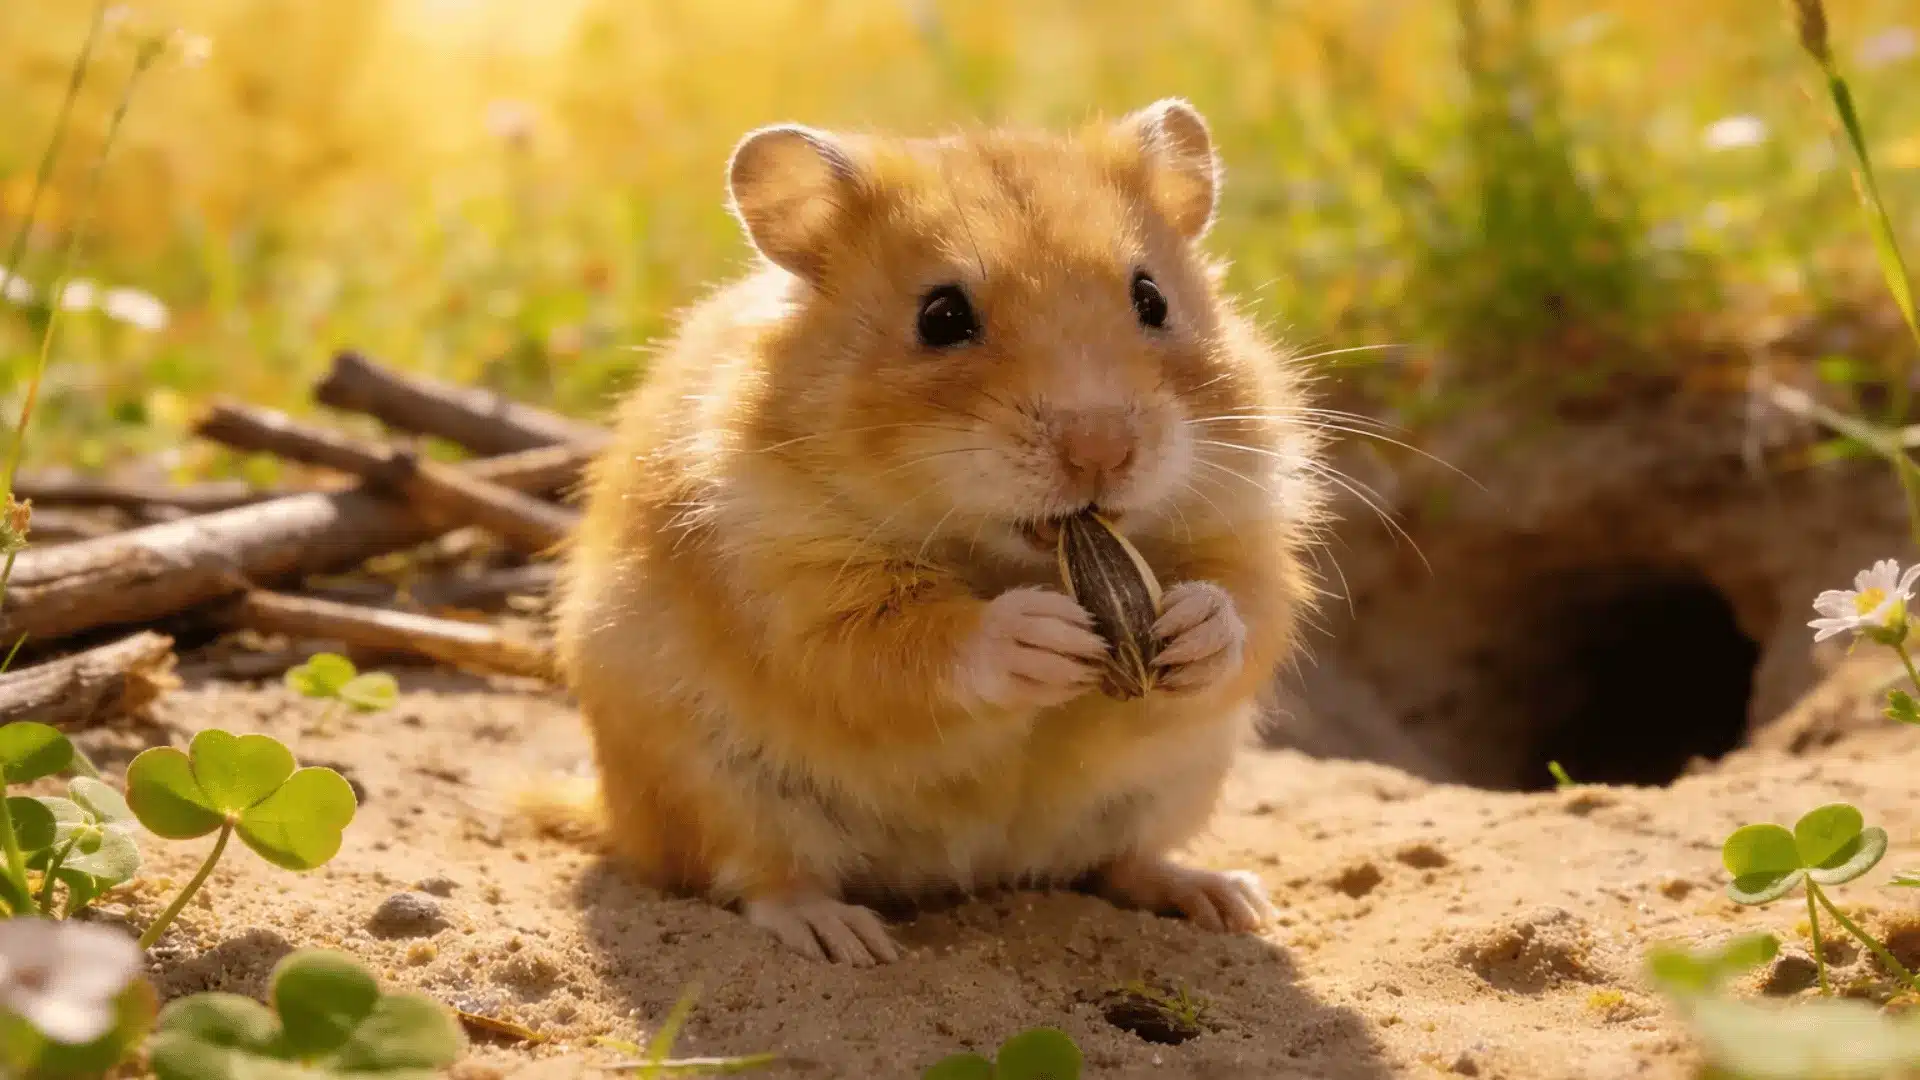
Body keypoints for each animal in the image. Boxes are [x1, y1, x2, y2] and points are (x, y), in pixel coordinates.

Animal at [544, 98, 1328, 965]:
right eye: (941, 316)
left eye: (1152, 298)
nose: (1102, 452)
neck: (1021, 555)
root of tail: (974, 873)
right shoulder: (796, 592)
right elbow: (917, 648)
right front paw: (1043, 637)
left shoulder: (1251, 527)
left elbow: (1243, 610)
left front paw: (1189, 627)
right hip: (715, 787)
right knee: (759, 877)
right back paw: (844, 937)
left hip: (1174, 785)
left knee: (1119, 862)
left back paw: (1228, 899)